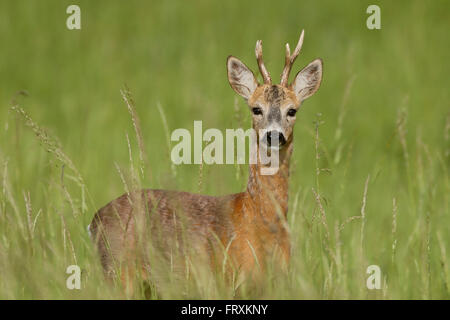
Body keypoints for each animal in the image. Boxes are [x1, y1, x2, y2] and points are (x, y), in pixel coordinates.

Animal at [89, 30, 322, 292]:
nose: (274, 135)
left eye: (292, 110)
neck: (259, 221)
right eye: (256, 109)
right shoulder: (230, 279)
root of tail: (94, 221)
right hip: (118, 272)